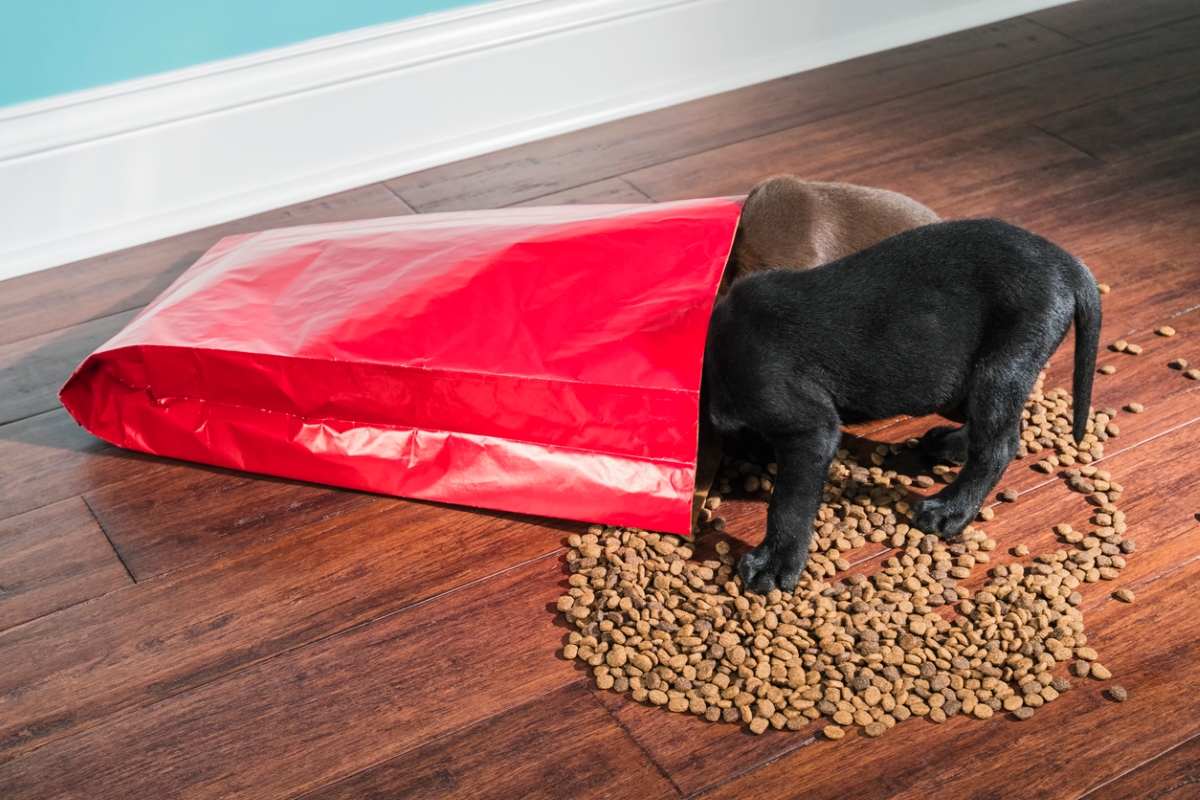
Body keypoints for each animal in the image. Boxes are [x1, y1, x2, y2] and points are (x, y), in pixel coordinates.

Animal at [705, 219, 1099, 594]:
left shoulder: (809, 427)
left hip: (1002, 366)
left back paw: (951, 510)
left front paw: (775, 564)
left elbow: (789, 504)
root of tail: (1069, 264)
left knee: (998, 446)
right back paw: (953, 445)